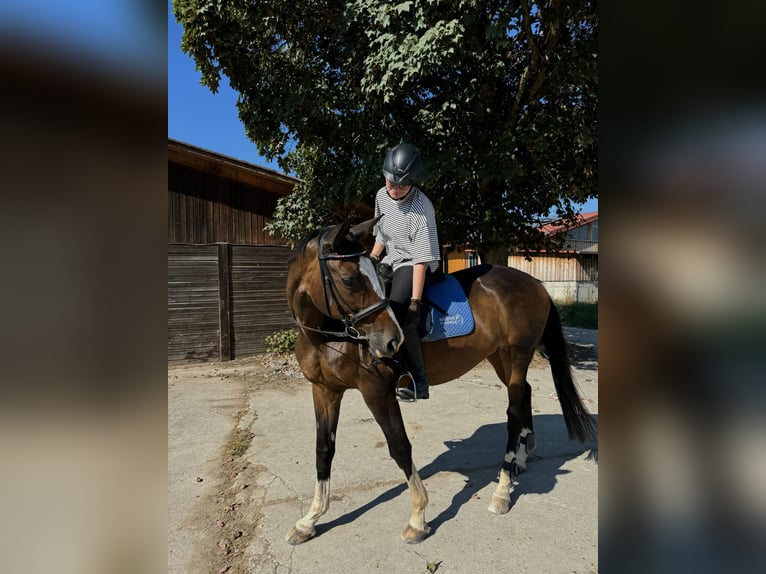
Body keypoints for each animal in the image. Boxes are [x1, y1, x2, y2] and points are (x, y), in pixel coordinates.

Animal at [284, 217, 597, 545]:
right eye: (348, 280)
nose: (392, 341)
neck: (326, 335)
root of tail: (535, 284)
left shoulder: (377, 392)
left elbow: (400, 448)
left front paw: (418, 518)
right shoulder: (325, 391)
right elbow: (323, 450)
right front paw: (309, 520)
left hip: (519, 353)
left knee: (513, 411)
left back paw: (501, 491)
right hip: (500, 356)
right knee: (525, 393)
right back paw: (520, 460)